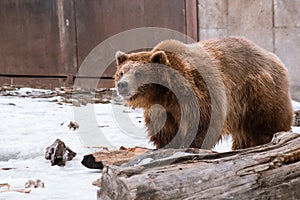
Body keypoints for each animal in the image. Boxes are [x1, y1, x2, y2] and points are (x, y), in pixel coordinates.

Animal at [114, 37, 292, 150]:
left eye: (138, 73)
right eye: (122, 72)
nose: (122, 85)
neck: (166, 94)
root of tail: (272, 56)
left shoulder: (198, 94)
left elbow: (203, 125)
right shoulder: (161, 110)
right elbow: (165, 131)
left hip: (259, 92)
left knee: (267, 123)